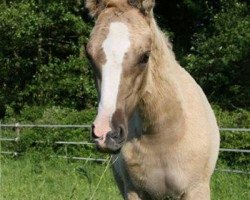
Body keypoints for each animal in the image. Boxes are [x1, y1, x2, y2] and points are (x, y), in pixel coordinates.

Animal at [85, 0, 220, 199]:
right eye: (89, 55)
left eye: (145, 56)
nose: (106, 133)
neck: (164, 136)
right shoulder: (133, 191)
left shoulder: (196, 190)